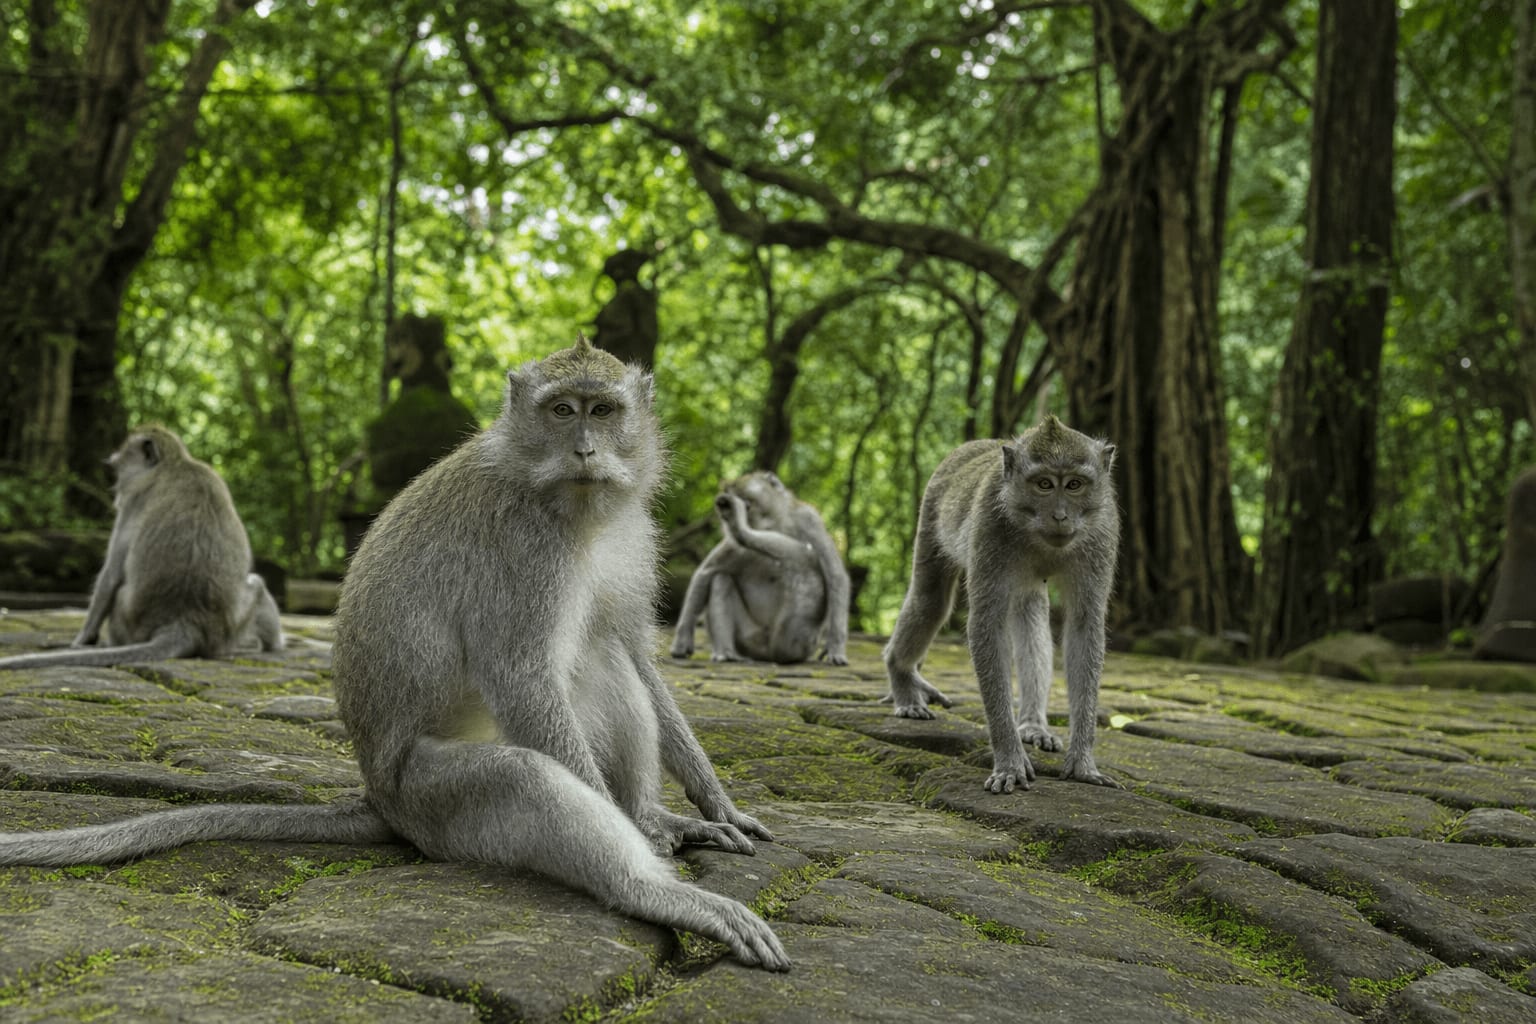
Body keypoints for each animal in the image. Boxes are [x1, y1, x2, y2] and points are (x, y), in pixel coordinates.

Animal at [0, 426, 283, 670]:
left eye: (119, 467)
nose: (115, 485)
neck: (175, 463)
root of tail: (184, 622)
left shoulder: (132, 502)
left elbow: (111, 574)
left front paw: (82, 639)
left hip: (127, 621)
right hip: (230, 627)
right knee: (257, 585)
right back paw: (270, 646)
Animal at [670, 471, 851, 665]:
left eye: (746, 499)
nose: (727, 511)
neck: (773, 523)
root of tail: (767, 655)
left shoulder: (808, 519)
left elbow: (835, 574)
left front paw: (835, 646)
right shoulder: (732, 545)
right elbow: (705, 572)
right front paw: (682, 641)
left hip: (801, 643)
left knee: (804, 558)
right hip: (749, 639)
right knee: (721, 579)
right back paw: (726, 652)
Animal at [881, 415, 1121, 793]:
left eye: (1074, 485)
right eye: (1043, 484)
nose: (1060, 516)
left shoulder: (1101, 534)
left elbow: (1084, 627)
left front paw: (1083, 762)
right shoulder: (990, 528)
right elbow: (986, 625)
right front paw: (1009, 760)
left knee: (1029, 614)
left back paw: (1033, 725)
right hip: (932, 510)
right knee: (930, 601)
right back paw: (903, 682)